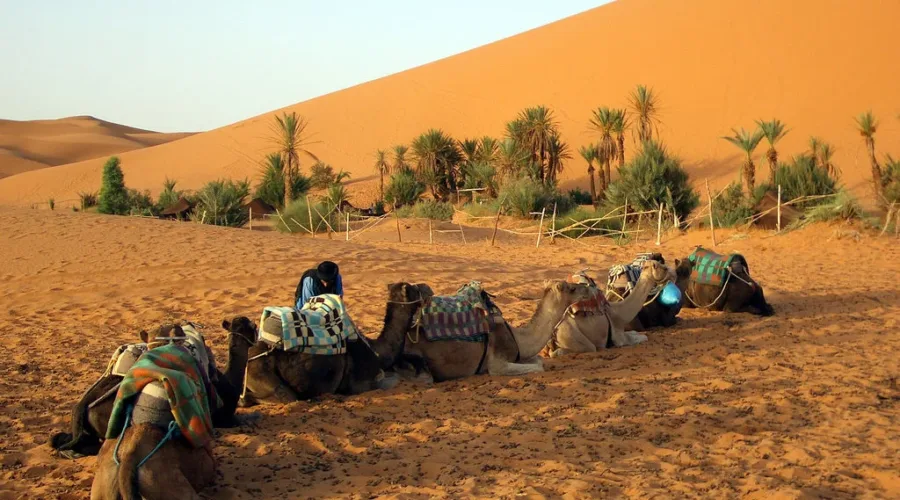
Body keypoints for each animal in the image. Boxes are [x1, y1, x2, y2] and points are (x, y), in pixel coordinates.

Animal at [221, 284, 426, 404]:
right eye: (414, 289)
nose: (425, 289)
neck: (376, 350)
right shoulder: (360, 385)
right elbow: (391, 380)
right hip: (263, 374)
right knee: (284, 397)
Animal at [370, 280, 596, 380]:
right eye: (572, 288)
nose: (588, 286)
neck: (517, 337)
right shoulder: (497, 363)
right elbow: (539, 366)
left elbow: (539, 359)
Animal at [540, 258, 676, 360]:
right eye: (663, 267)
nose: (673, 273)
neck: (620, 312)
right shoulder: (619, 336)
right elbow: (642, 337)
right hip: (570, 334)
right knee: (579, 349)